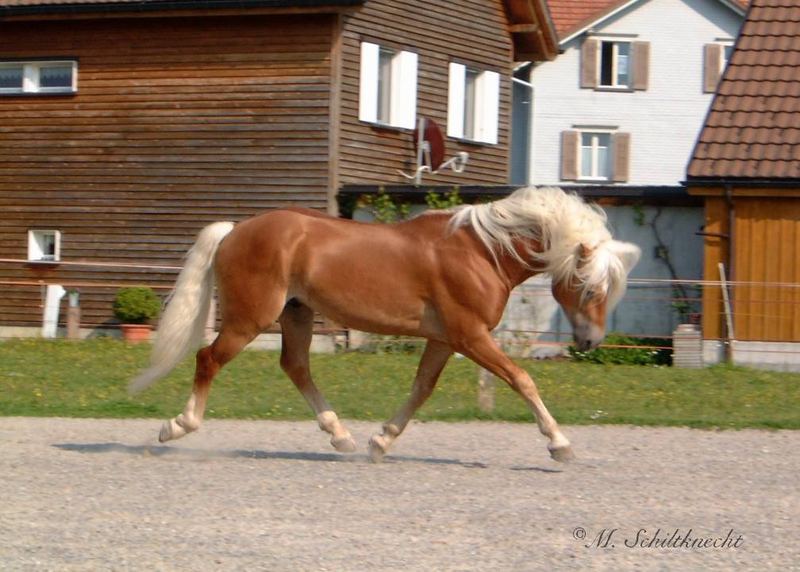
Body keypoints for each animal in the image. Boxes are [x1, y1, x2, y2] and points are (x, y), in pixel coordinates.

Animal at [133, 185, 644, 462]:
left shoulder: (445, 339)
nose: (590, 341)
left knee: (296, 367)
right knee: (208, 358)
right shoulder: (470, 336)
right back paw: (176, 427)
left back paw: (341, 436)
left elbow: (420, 390)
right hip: (250, 318)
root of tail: (236, 230)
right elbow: (522, 379)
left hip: (296, 314)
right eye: (590, 289)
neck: (482, 253)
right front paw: (559, 443)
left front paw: (380, 441)